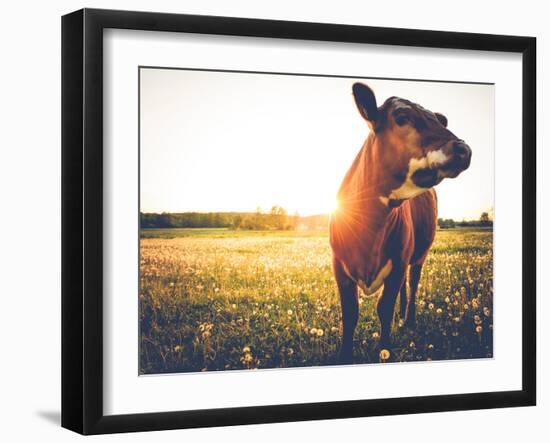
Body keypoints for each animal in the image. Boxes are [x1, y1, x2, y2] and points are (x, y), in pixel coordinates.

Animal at [332, 83, 474, 364]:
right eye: (402, 117)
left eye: (437, 120)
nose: (463, 149)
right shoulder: (339, 266)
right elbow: (350, 313)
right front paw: (344, 356)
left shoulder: (398, 262)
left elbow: (384, 308)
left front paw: (385, 349)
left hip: (420, 253)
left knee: (412, 282)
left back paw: (407, 320)